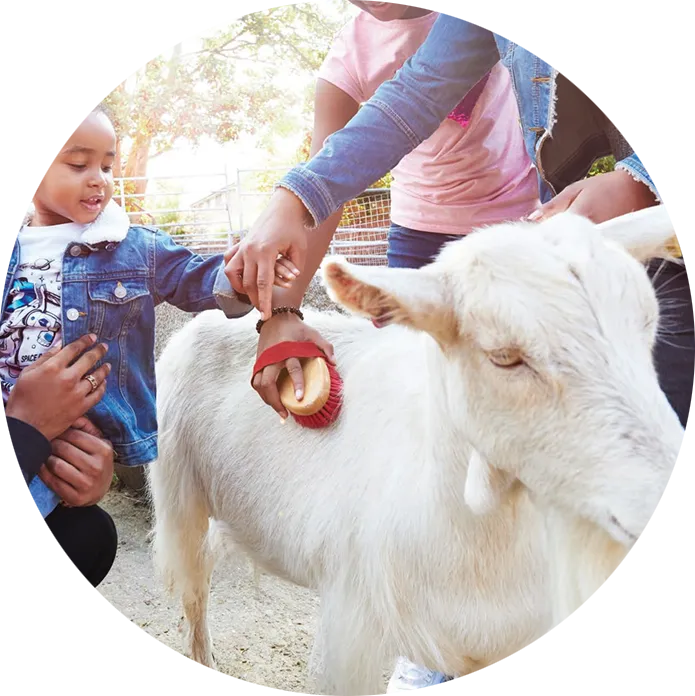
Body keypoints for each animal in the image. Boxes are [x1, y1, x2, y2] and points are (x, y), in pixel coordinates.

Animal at [149, 205, 694, 695]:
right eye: (504, 356)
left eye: (648, 326)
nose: (682, 509)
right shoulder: (349, 630)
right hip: (180, 493)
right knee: (194, 589)